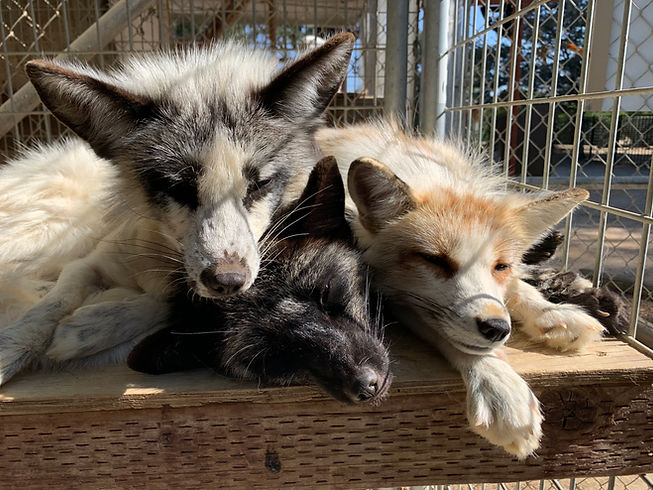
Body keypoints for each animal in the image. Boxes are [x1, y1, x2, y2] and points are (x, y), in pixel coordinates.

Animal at [0, 34, 355, 385]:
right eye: (179, 188)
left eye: (259, 184)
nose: (228, 281)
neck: (161, 259)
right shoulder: (90, 262)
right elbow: (53, 303)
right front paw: (13, 345)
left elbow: (165, 304)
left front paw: (90, 326)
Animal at [316, 119, 607, 459]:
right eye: (434, 260)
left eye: (501, 266)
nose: (497, 328)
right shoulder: (393, 295)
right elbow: (447, 334)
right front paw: (499, 384)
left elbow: (515, 289)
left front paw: (550, 312)